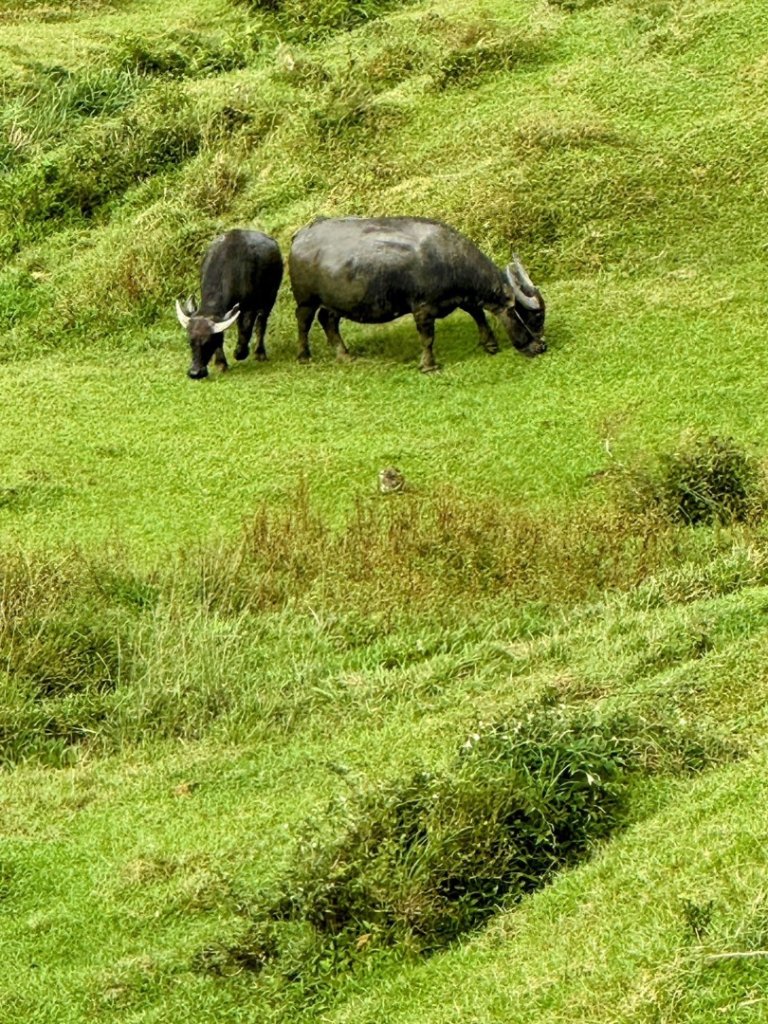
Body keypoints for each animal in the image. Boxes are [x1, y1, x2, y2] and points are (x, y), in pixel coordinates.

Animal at [176, 228, 284, 380]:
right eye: (190, 342)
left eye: (207, 342)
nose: (195, 373)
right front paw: (221, 363)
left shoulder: (249, 307)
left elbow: (246, 329)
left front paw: (240, 353)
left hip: (270, 296)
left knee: (261, 323)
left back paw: (259, 353)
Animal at [288, 216, 548, 372]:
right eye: (532, 318)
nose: (541, 347)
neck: (446, 259)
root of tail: (301, 235)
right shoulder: (423, 309)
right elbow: (427, 338)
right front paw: (428, 365)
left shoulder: (462, 298)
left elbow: (478, 314)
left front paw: (490, 344)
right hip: (306, 299)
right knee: (304, 322)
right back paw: (303, 356)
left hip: (335, 302)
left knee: (327, 319)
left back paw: (344, 355)